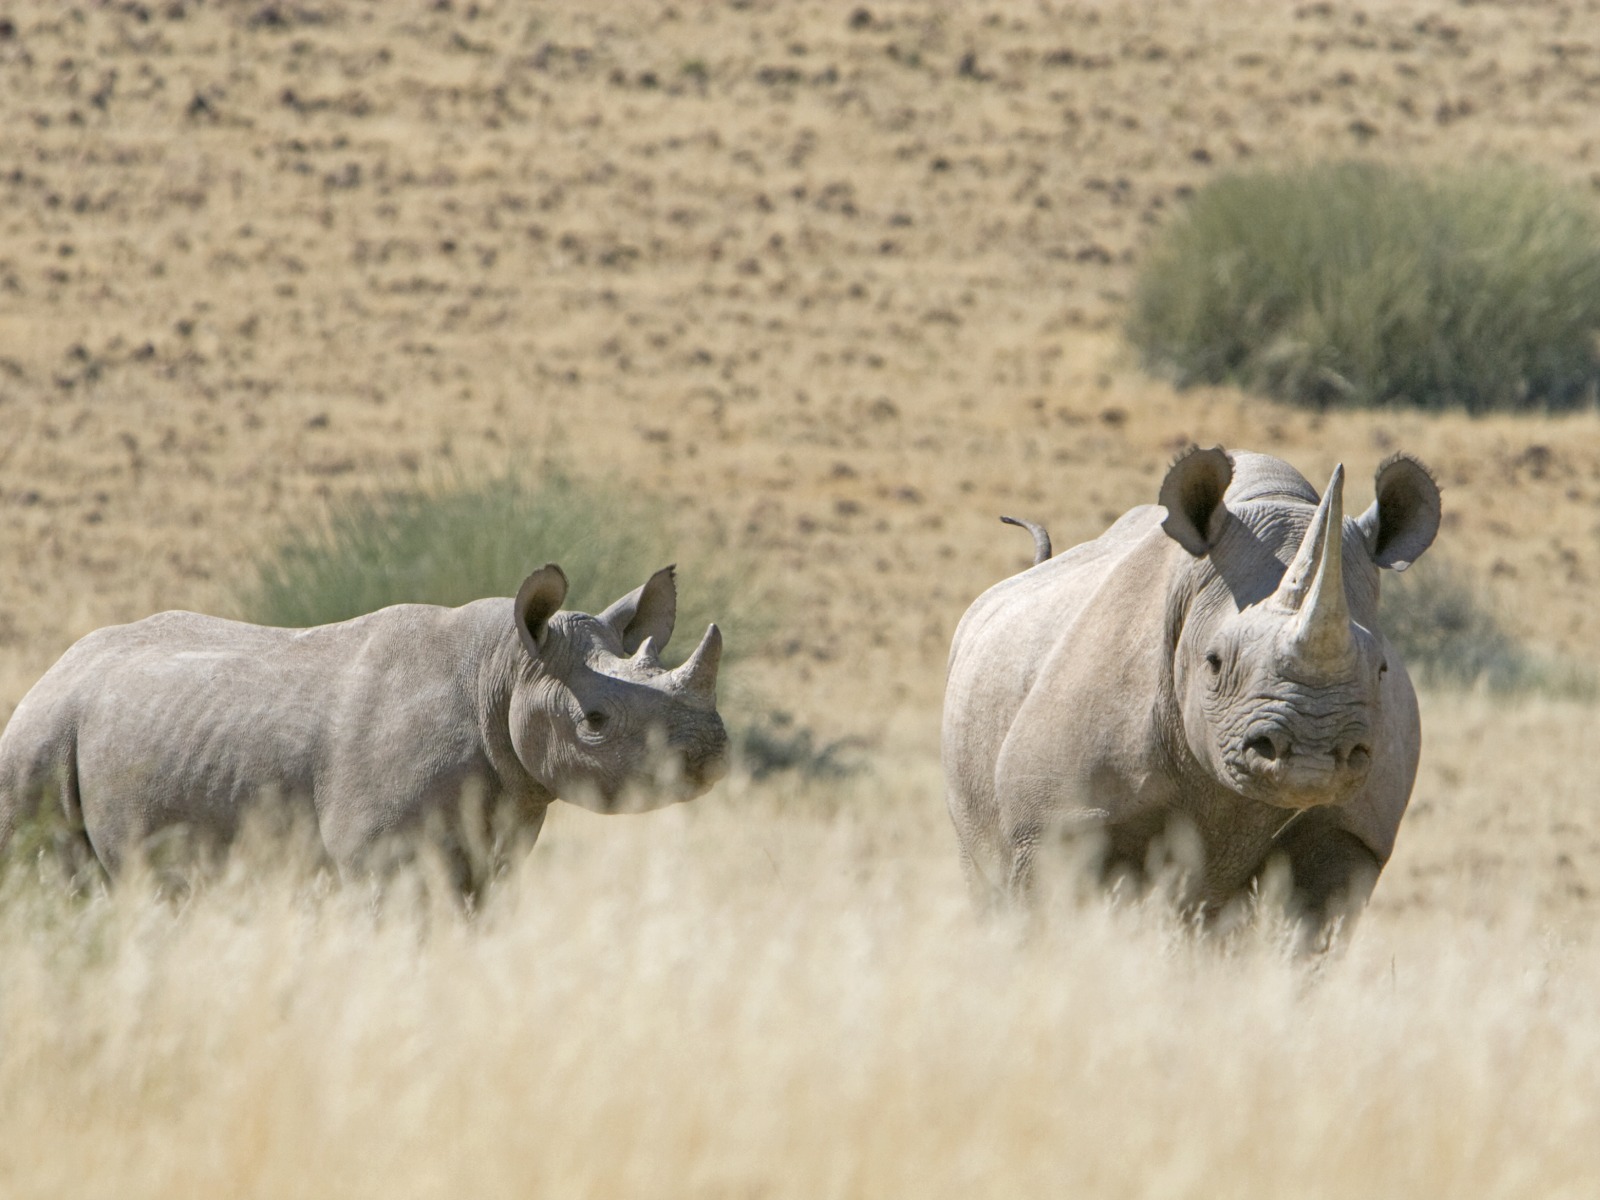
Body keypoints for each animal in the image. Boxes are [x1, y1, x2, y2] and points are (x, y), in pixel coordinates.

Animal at [0, 564, 728, 889]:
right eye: (595, 722)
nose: (713, 752)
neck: (505, 668)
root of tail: (53, 673)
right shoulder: (383, 862)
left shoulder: (493, 848)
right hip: (39, 740)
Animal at [943, 448, 1441, 942]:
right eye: (1214, 661)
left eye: (1381, 670)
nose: (1311, 758)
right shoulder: (1054, 819)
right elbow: (1051, 920)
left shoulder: (1354, 832)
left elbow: (1308, 933)